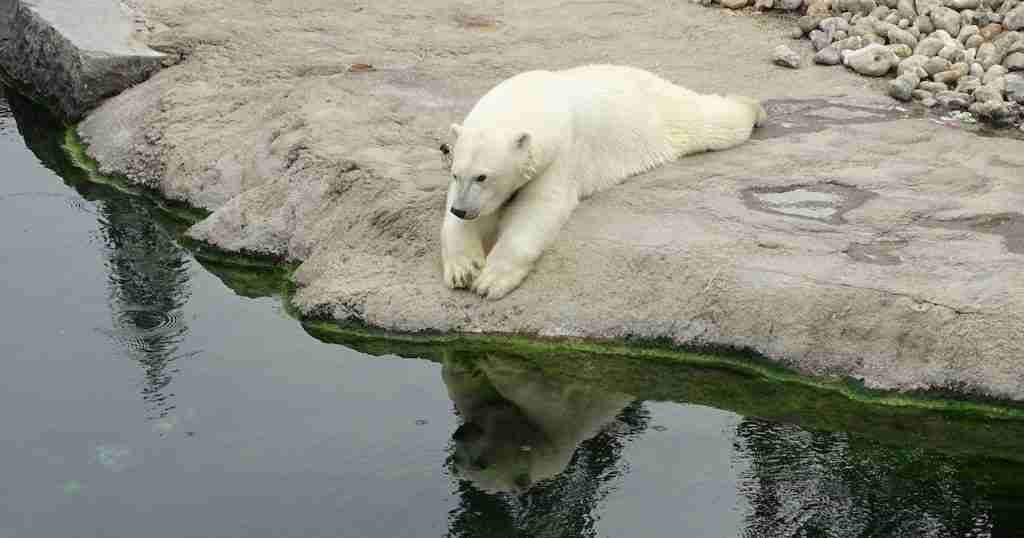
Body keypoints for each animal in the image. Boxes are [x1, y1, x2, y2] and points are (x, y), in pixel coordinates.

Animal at [442, 64, 770, 297]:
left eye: (483, 176)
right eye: (456, 173)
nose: (462, 209)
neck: (533, 98)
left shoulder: (563, 154)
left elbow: (539, 208)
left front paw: (490, 280)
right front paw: (464, 268)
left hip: (666, 115)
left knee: (713, 123)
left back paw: (753, 108)